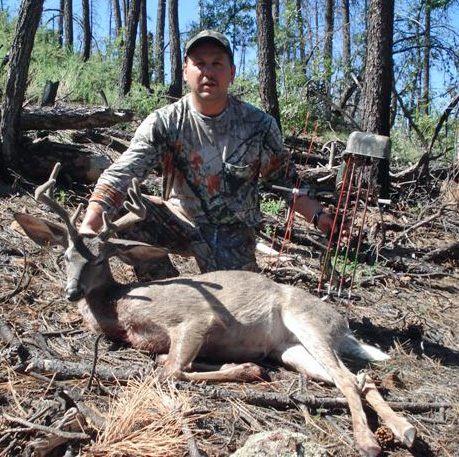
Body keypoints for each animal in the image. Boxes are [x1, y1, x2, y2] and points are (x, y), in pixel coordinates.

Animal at [15, 162, 416, 454]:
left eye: (100, 260)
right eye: (65, 257)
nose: (72, 292)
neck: (122, 311)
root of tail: (344, 324)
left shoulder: (195, 318)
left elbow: (172, 371)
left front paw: (244, 369)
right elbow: (168, 363)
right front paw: (244, 366)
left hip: (307, 321)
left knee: (349, 378)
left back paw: (368, 442)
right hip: (292, 350)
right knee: (360, 378)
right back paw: (404, 429)